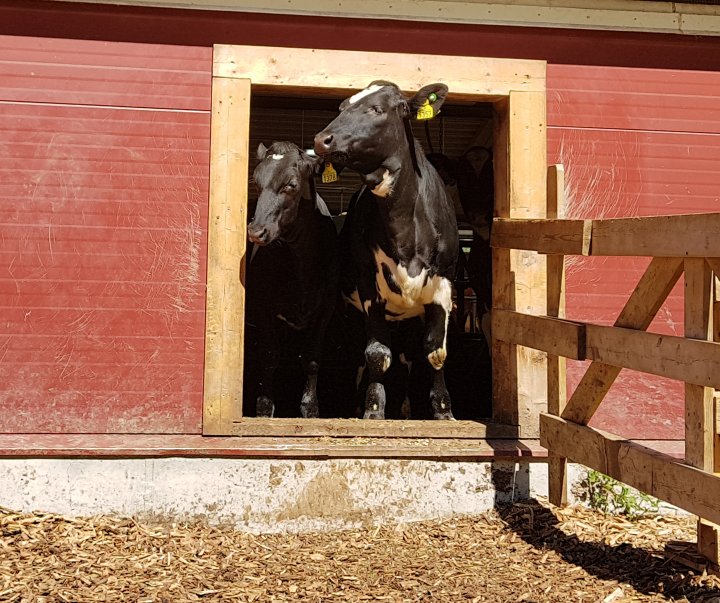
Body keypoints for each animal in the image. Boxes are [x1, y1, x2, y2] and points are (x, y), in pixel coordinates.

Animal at [246, 140, 338, 420]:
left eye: (291, 185)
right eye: (256, 181)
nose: (256, 231)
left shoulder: (326, 308)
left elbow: (311, 358)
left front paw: (310, 407)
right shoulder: (262, 305)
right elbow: (269, 355)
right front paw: (264, 407)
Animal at [314, 80, 458, 420]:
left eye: (377, 109)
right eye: (342, 107)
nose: (322, 139)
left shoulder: (444, 286)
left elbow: (435, 352)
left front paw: (443, 410)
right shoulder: (369, 286)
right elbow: (377, 354)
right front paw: (373, 409)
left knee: (408, 357)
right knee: (359, 357)